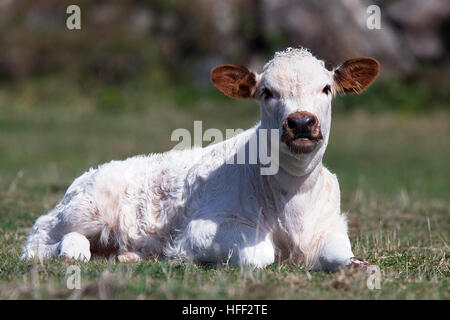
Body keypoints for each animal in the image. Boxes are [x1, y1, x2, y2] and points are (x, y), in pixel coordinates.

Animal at [22, 47, 380, 272]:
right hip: (85, 208)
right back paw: (73, 251)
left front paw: (359, 266)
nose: (302, 122)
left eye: (326, 89)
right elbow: (260, 253)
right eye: (266, 92)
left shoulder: (332, 224)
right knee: (41, 238)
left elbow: (340, 253)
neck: (292, 198)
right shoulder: (201, 228)